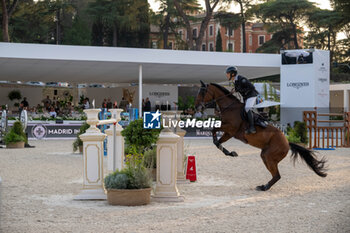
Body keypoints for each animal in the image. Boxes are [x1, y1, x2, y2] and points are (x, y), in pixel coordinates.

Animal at [196, 81, 326, 190]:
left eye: (202, 92)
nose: (197, 107)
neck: (230, 107)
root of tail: (287, 143)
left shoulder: (230, 129)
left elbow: (214, 131)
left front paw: (230, 152)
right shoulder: (229, 132)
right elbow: (216, 141)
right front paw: (231, 153)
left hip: (268, 156)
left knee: (277, 175)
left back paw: (264, 187)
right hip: (266, 156)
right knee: (276, 175)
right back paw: (264, 186)